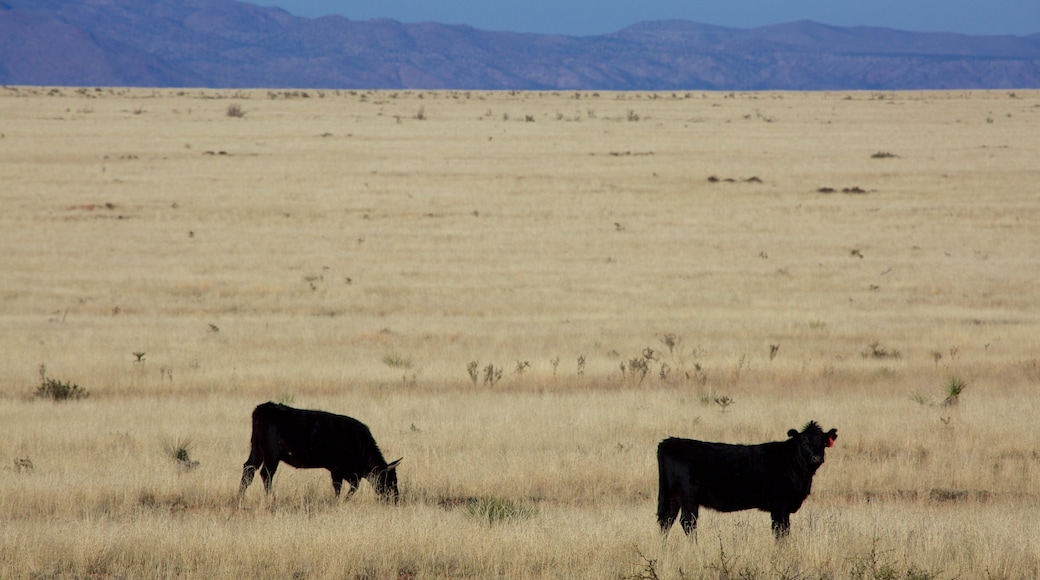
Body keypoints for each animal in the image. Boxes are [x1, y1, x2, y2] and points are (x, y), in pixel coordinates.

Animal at [239, 403, 401, 503]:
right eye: (390, 480)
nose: (396, 499)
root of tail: (264, 408)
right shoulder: (343, 469)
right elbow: (351, 486)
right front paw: (343, 500)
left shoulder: (336, 470)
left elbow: (338, 487)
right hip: (272, 456)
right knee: (266, 475)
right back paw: (271, 499)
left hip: (257, 452)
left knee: (249, 469)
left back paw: (240, 497)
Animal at [657, 422, 836, 540]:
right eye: (804, 442)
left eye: (823, 443)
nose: (817, 457)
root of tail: (671, 441)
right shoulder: (780, 504)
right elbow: (780, 530)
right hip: (688, 498)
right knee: (687, 522)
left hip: (671, 497)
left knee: (665, 521)